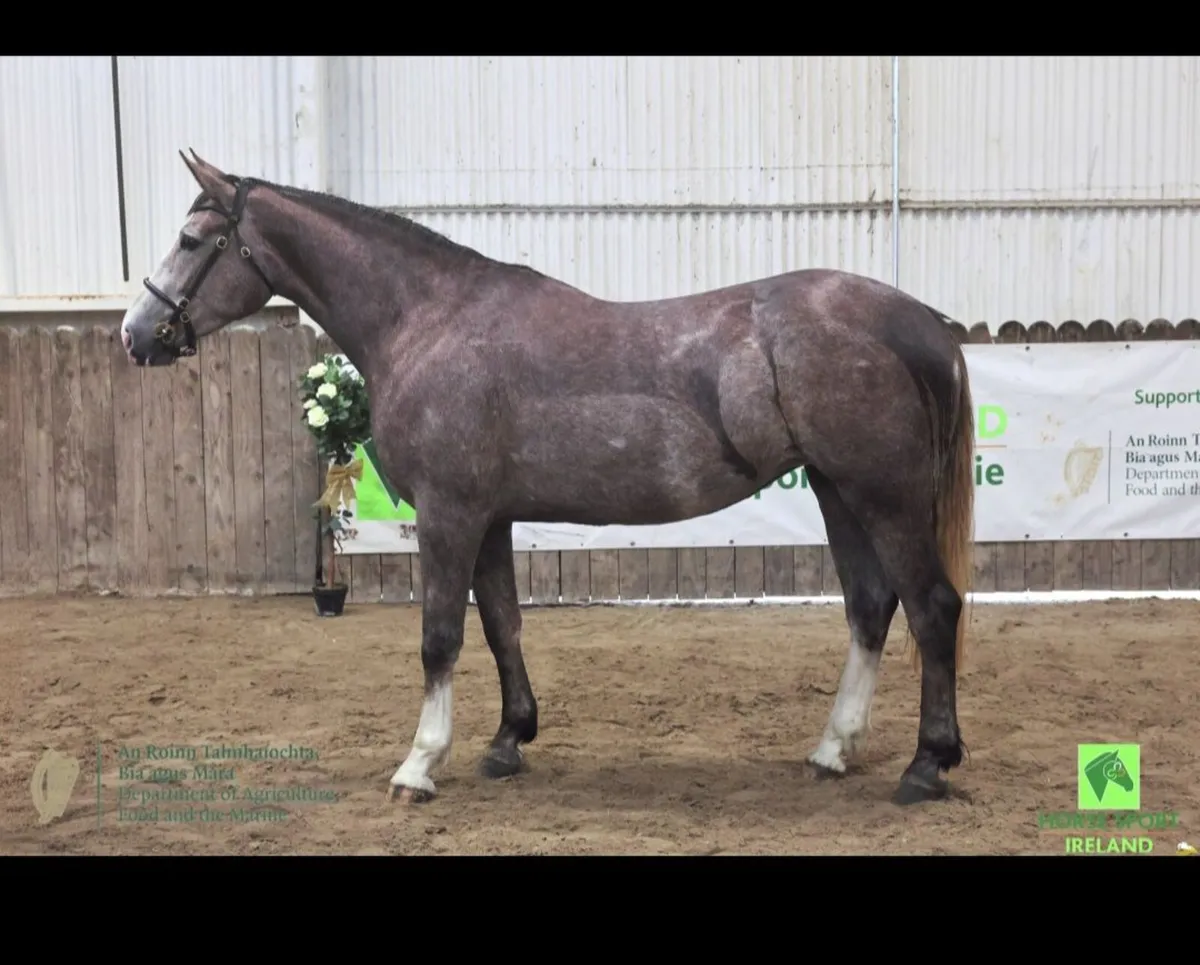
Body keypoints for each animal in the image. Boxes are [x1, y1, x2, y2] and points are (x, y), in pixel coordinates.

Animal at [120, 149, 976, 808]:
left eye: (193, 238)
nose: (135, 333)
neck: (426, 320)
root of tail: (922, 323)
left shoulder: (449, 514)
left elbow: (440, 635)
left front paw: (419, 763)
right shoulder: (488, 516)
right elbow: (502, 623)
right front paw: (508, 739)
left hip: (885, 497)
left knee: (932, 607)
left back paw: (926, 764)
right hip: (839, 492)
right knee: (871, 606)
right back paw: (834, 747)